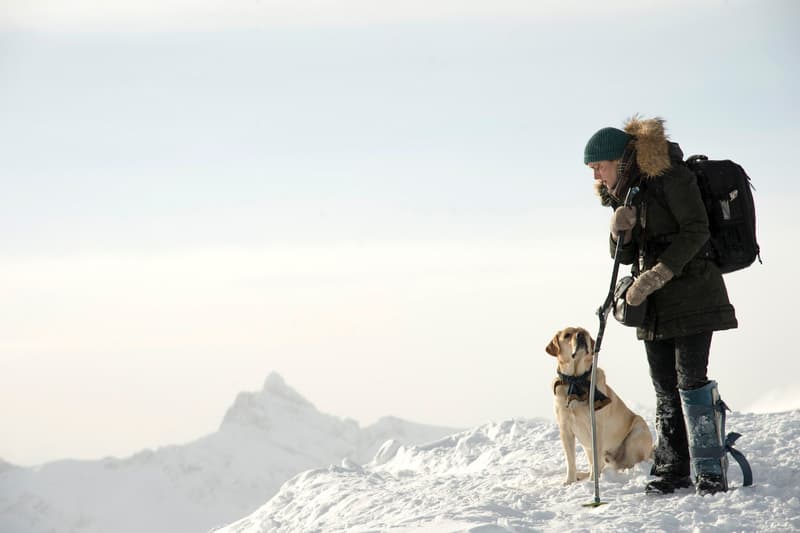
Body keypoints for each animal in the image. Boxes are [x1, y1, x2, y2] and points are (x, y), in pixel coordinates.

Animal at [548, 324, 652, 482]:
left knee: (629, 463)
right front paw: (570, 482)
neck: (575, 381)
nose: (581, 335)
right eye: (567, 335)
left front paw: (593, 482)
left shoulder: (596, 427)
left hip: (637, 432)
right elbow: (570, 461)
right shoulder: (565, 430)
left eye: (584, 332)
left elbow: (595, 463)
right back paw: (582, 475)